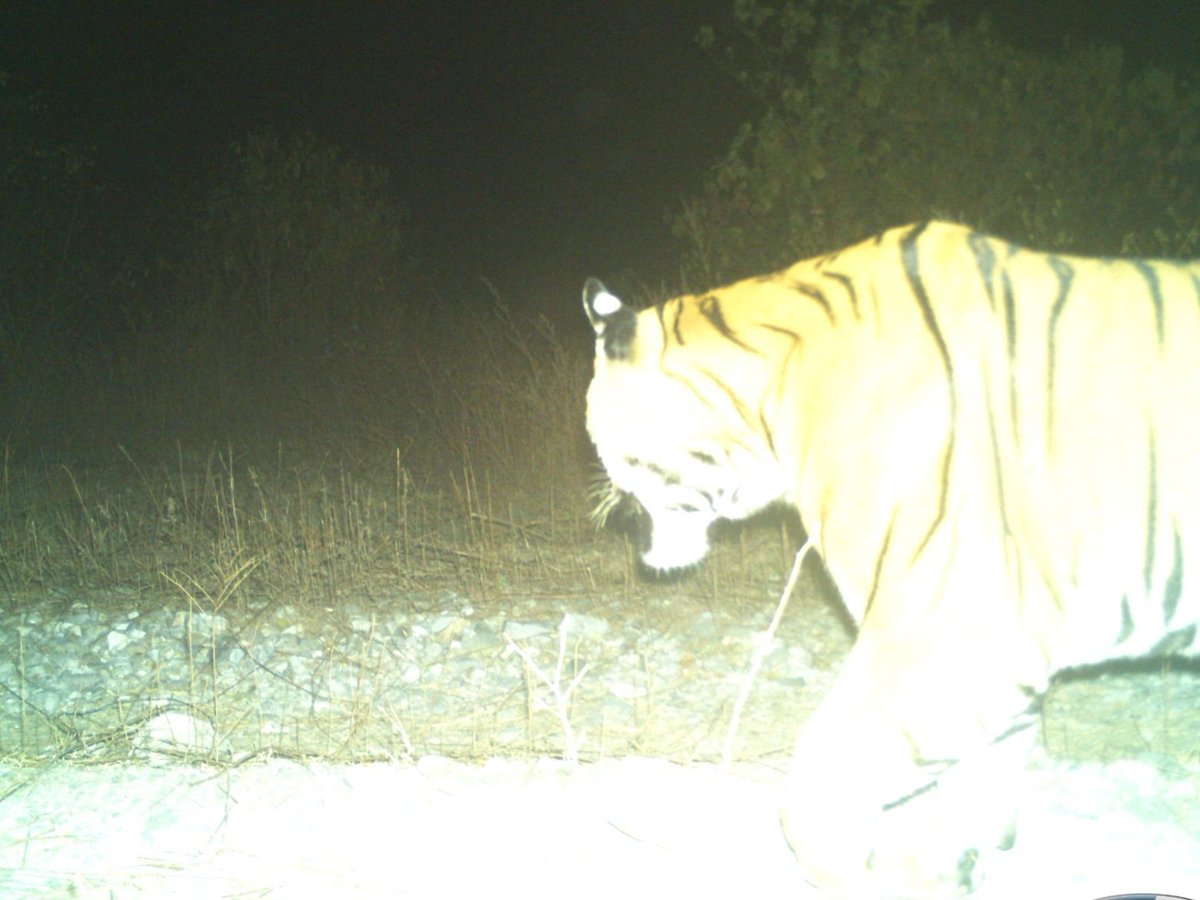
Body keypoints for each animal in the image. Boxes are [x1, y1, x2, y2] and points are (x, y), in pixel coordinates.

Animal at [582, 220, 1200, 895]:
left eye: (600, 433)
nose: (607, 499)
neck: (775, 402)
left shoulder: (945, 631)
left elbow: (820, 785)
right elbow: (979, 785)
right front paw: (961, 865)